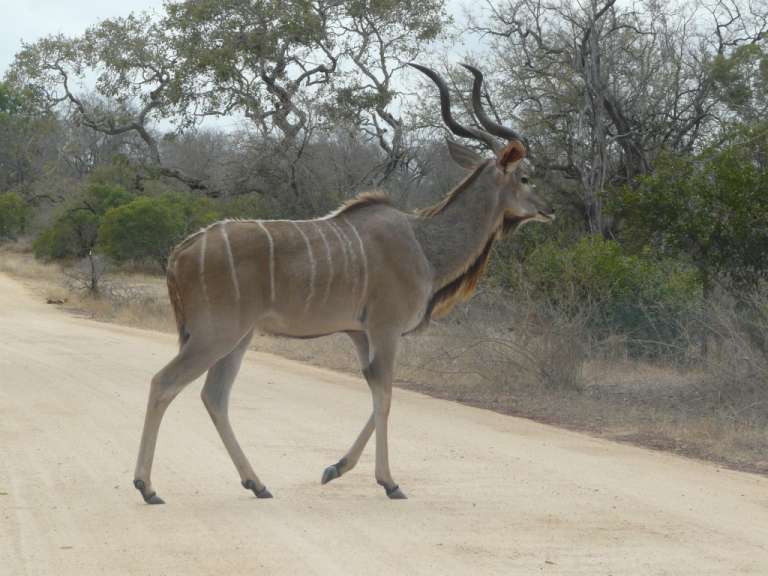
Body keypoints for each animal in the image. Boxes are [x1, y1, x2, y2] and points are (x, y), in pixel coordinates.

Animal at [133, 63, 554, 504]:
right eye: (526, 177)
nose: (550, 209)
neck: (424, 243)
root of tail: (179, 253)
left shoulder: (359, 333)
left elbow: (376, 393)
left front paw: (335, 469)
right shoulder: (385, 329)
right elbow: (385, 395)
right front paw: (389, 482)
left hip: (238, 336)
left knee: (214, 396)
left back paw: (257, 483)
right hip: (215, 333)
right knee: (164, 383)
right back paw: (147, 487)